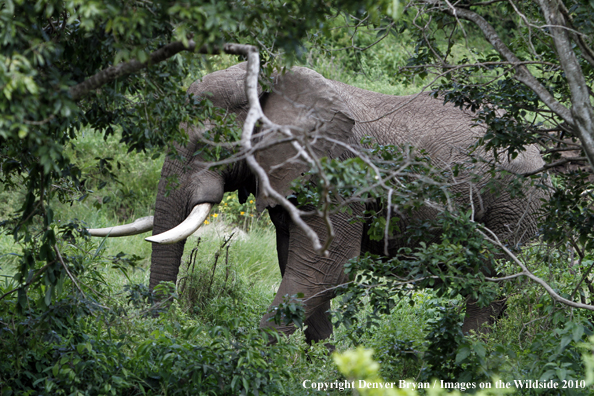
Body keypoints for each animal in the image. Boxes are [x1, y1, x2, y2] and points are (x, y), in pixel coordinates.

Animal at [85, 63, 544, 342]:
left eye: (207, 143)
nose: (166, 331)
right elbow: (298, 265)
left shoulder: (336, 170)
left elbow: (326, 268)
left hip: (518, 203)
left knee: (493, 282)